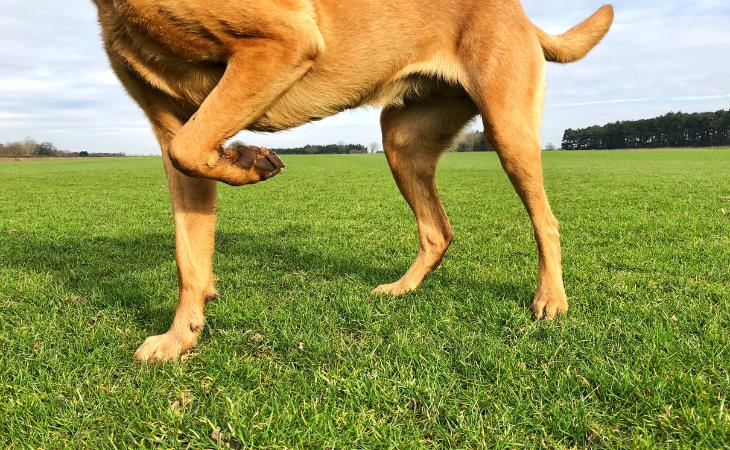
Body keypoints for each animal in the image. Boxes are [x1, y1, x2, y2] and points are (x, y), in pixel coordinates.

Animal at [91, 0, 616, 358]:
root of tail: (522, 15)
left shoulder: (282, 42)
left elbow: (191, 152)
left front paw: (250, 160)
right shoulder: (170, 125)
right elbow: (189, 253)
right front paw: (179, 337)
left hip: (508, 128)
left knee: (546, 221)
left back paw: (550, 299)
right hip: (402, 141)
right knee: (438, 231)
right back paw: (402, 289)